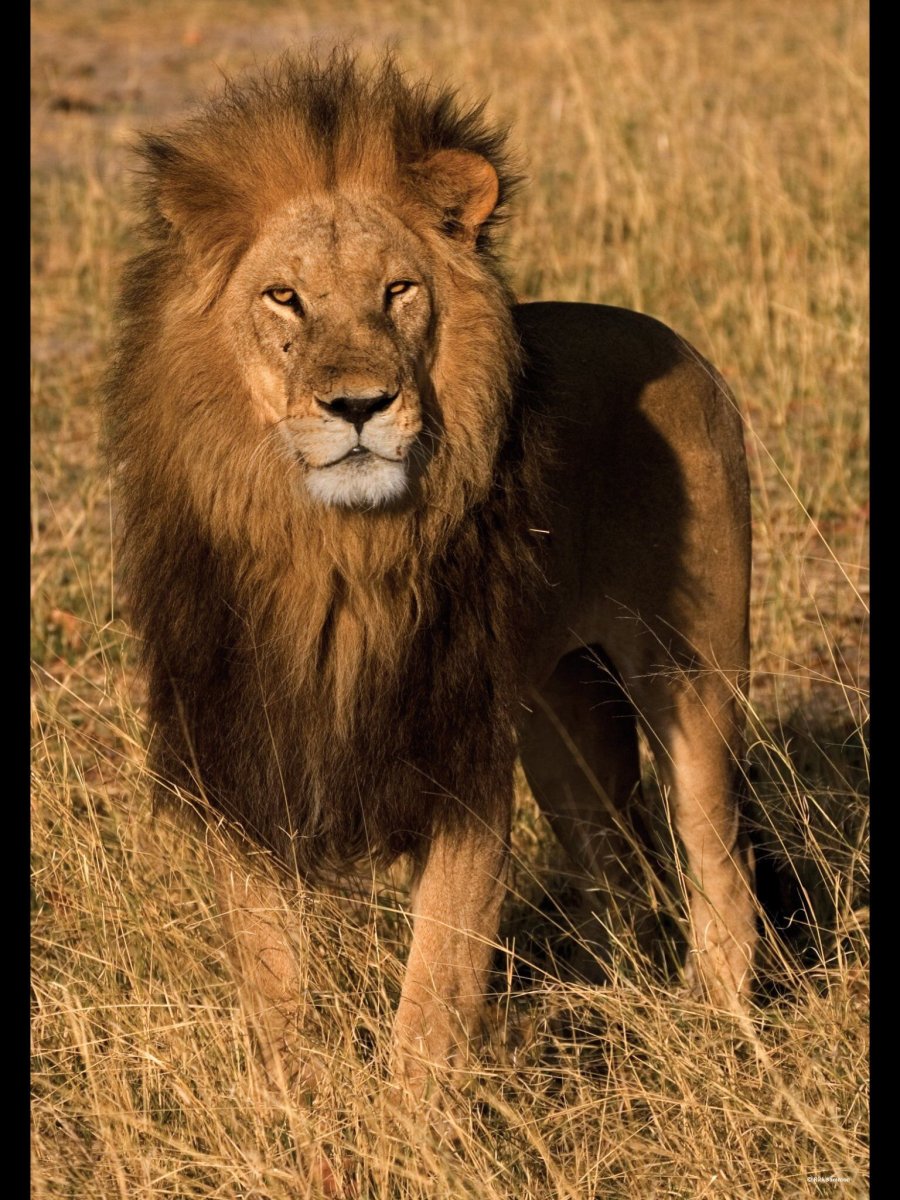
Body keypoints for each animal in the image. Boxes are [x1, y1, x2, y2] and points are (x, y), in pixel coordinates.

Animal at [105, 50, 755, 1100]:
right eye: (283, 298)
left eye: (399, 290)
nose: (359, 404)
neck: (337, 551)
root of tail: (681, 345)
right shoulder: (245, 748)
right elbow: (272, 977)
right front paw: (292, 1109)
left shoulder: (460, 756)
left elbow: (435, 987)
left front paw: (411, 1119)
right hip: (564, 723)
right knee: (614, 864)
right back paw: (613, 1002)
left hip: (688, 675)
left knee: (719, 861)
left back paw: (724, 1040)